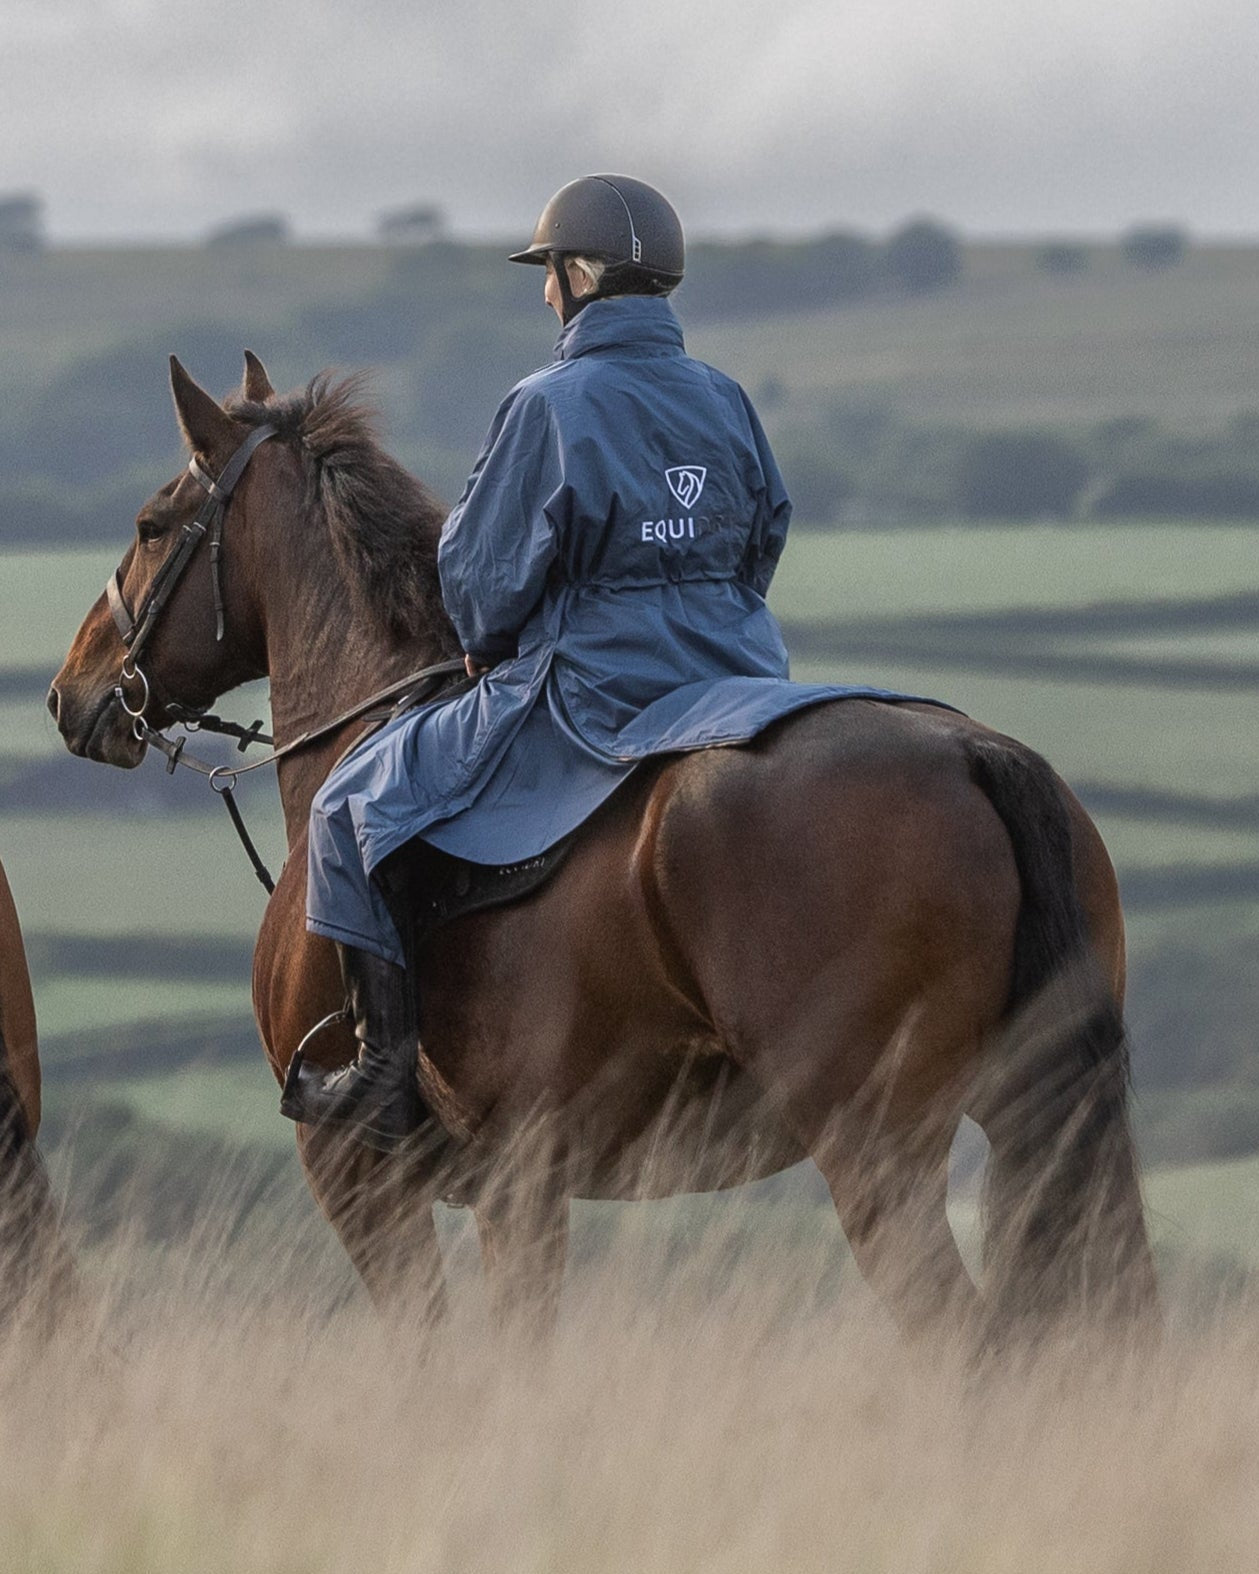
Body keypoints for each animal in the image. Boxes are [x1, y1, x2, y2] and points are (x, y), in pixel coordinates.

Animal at [48, 352, 1158, 1343]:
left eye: (150, 526)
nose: (70, 691)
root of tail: (970, 752)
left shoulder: (368, 1179)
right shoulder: (520, 1188)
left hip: (872, 1150)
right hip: (1021, 1119)